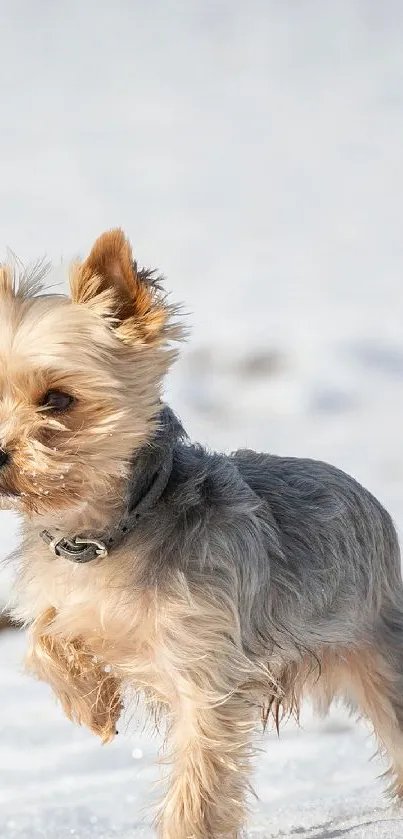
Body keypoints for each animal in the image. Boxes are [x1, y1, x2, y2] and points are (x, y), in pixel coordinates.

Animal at [2, 230, 403, 839]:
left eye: (58, 399)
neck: (106, 536)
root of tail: (372, 503)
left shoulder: (208, 670)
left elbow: (199, 777)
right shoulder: (66, 599)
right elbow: (46, 636)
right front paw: (93, 706)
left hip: (378, 646)